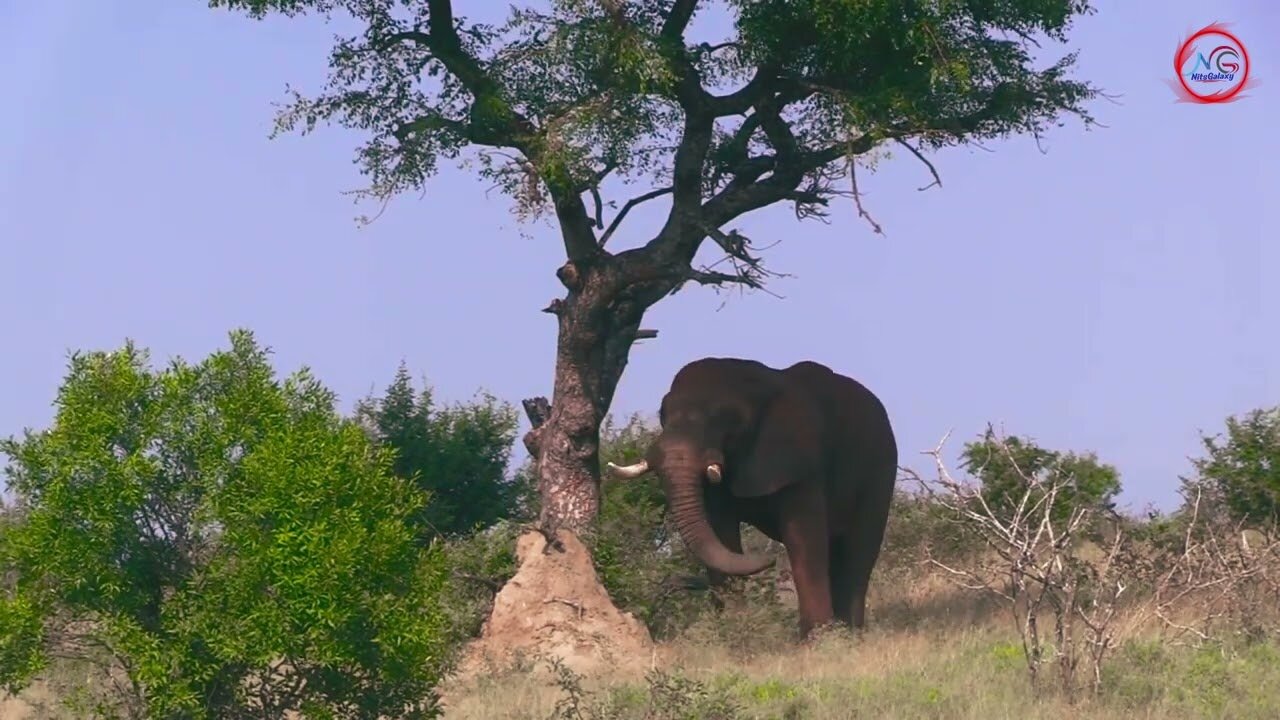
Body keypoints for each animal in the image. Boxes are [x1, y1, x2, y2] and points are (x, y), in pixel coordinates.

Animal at [604, 356, 896, 635]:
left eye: (725, 420)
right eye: (662, 413)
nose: (770, 560)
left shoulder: (801, 462)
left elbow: (804, 537)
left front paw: (818, 639)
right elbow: (721, 532)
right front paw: (731, 629)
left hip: (881, 469)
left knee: (859, 552)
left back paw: (851, 633)